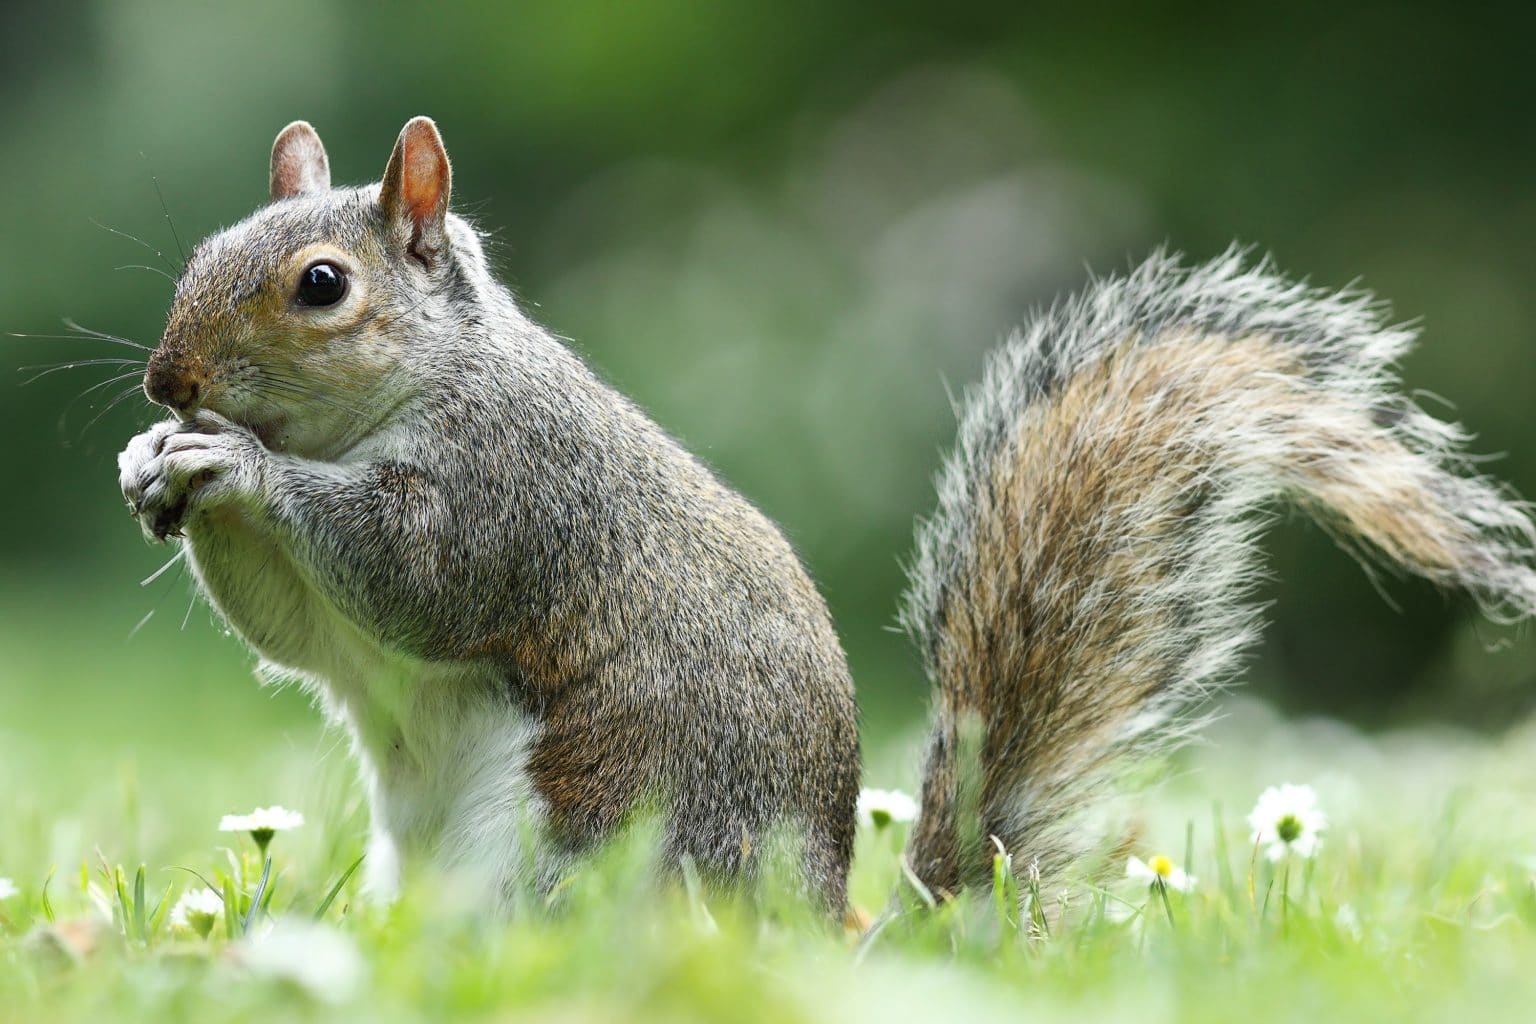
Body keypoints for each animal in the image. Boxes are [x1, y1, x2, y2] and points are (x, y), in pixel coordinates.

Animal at [117, 117, 1536, 913]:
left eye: (321, 285)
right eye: (201, 252)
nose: (166, 381)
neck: (403, 397)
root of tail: (820, 934)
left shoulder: (513, 491)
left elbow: (408, 574)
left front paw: (232, 464)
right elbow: (301, 628)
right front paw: (155, 462)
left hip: (595, 848)